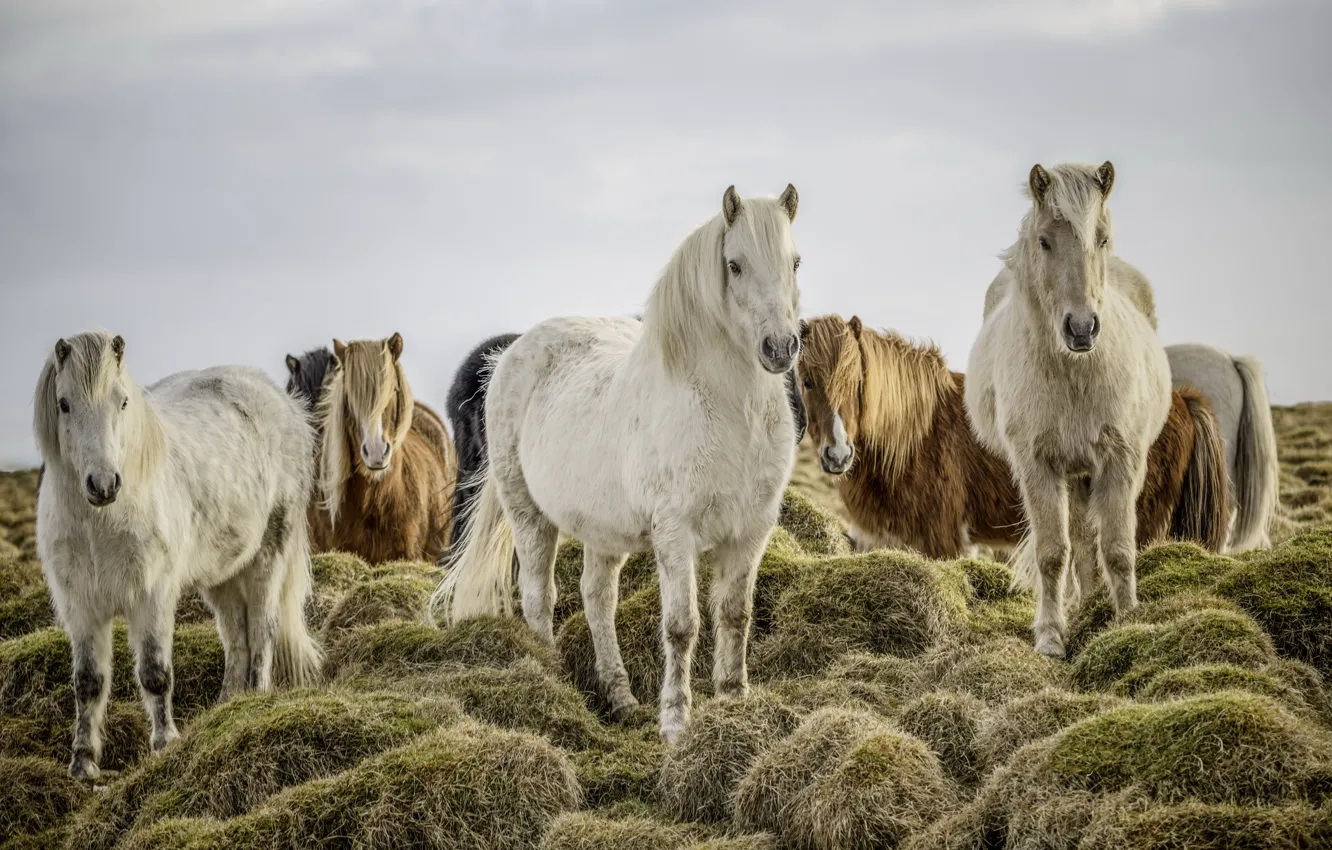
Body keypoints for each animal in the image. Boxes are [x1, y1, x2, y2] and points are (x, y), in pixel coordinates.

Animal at [34, 332, 321, 781]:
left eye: (123, 401)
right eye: (64, 403)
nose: (103, 484)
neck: (99, 524)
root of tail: (284, 403)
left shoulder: (150, 598)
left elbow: (154, 674)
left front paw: (165, 744)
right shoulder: (81, 608)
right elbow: (88, 682)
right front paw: (83, 764)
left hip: (268, 556)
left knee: (262, 630)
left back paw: (254, 702)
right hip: (222, 574)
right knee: (236, 636)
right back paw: (227, 707)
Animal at [798, 314, 1228, 562]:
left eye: (856, 382)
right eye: (806, 381)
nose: (837, 455)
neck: (913, 434)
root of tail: (1180, 399)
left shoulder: (943, 541)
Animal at [965, 162, 1173, 659]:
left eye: (1101, 238)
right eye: (1044, 241)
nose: (1081, 328)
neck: (1075, 371)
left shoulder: (1122, 460)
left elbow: (1118, 548)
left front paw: (1128, 621)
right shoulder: (1038, 465)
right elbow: (1053, 553)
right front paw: (1050, 636)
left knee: (1089, 540)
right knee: (1076, 541)